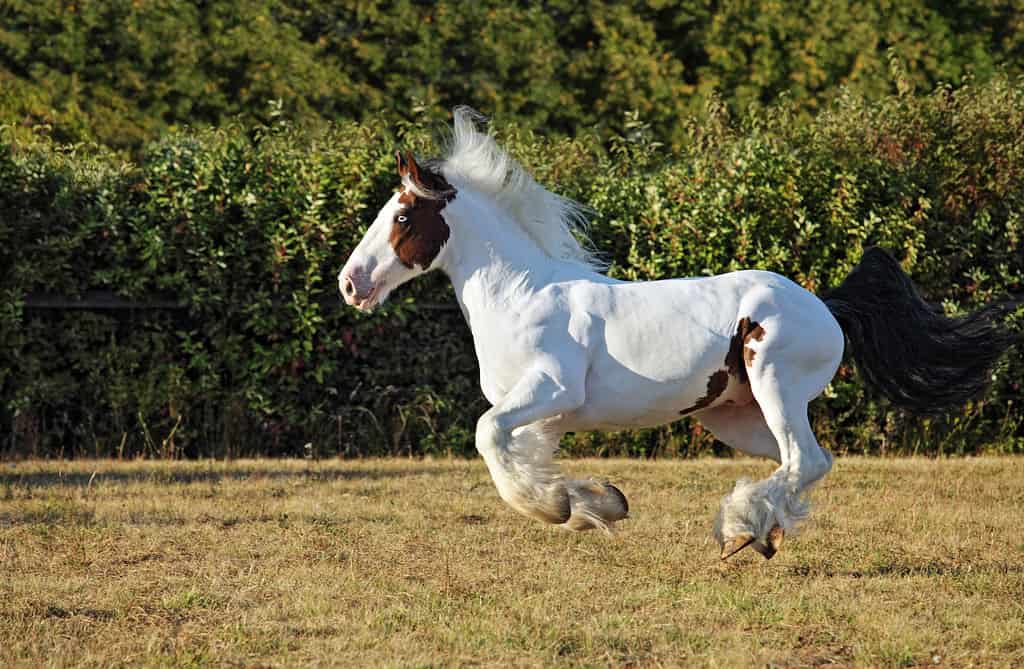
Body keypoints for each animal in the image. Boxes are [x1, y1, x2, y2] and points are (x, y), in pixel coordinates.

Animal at [337, 108, 1015, 557]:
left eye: (402, 216)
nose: (350, 283)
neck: (521, 295)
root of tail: (823, 304)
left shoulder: (550, 392)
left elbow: (488, 438)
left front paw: (561, 507)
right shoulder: (542, 415)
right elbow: (518, 454)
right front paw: (596, 503)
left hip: (775, 386)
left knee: (805, 458)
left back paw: (740, 530)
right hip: (733, 416)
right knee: (803, 463)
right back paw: (759, 532)